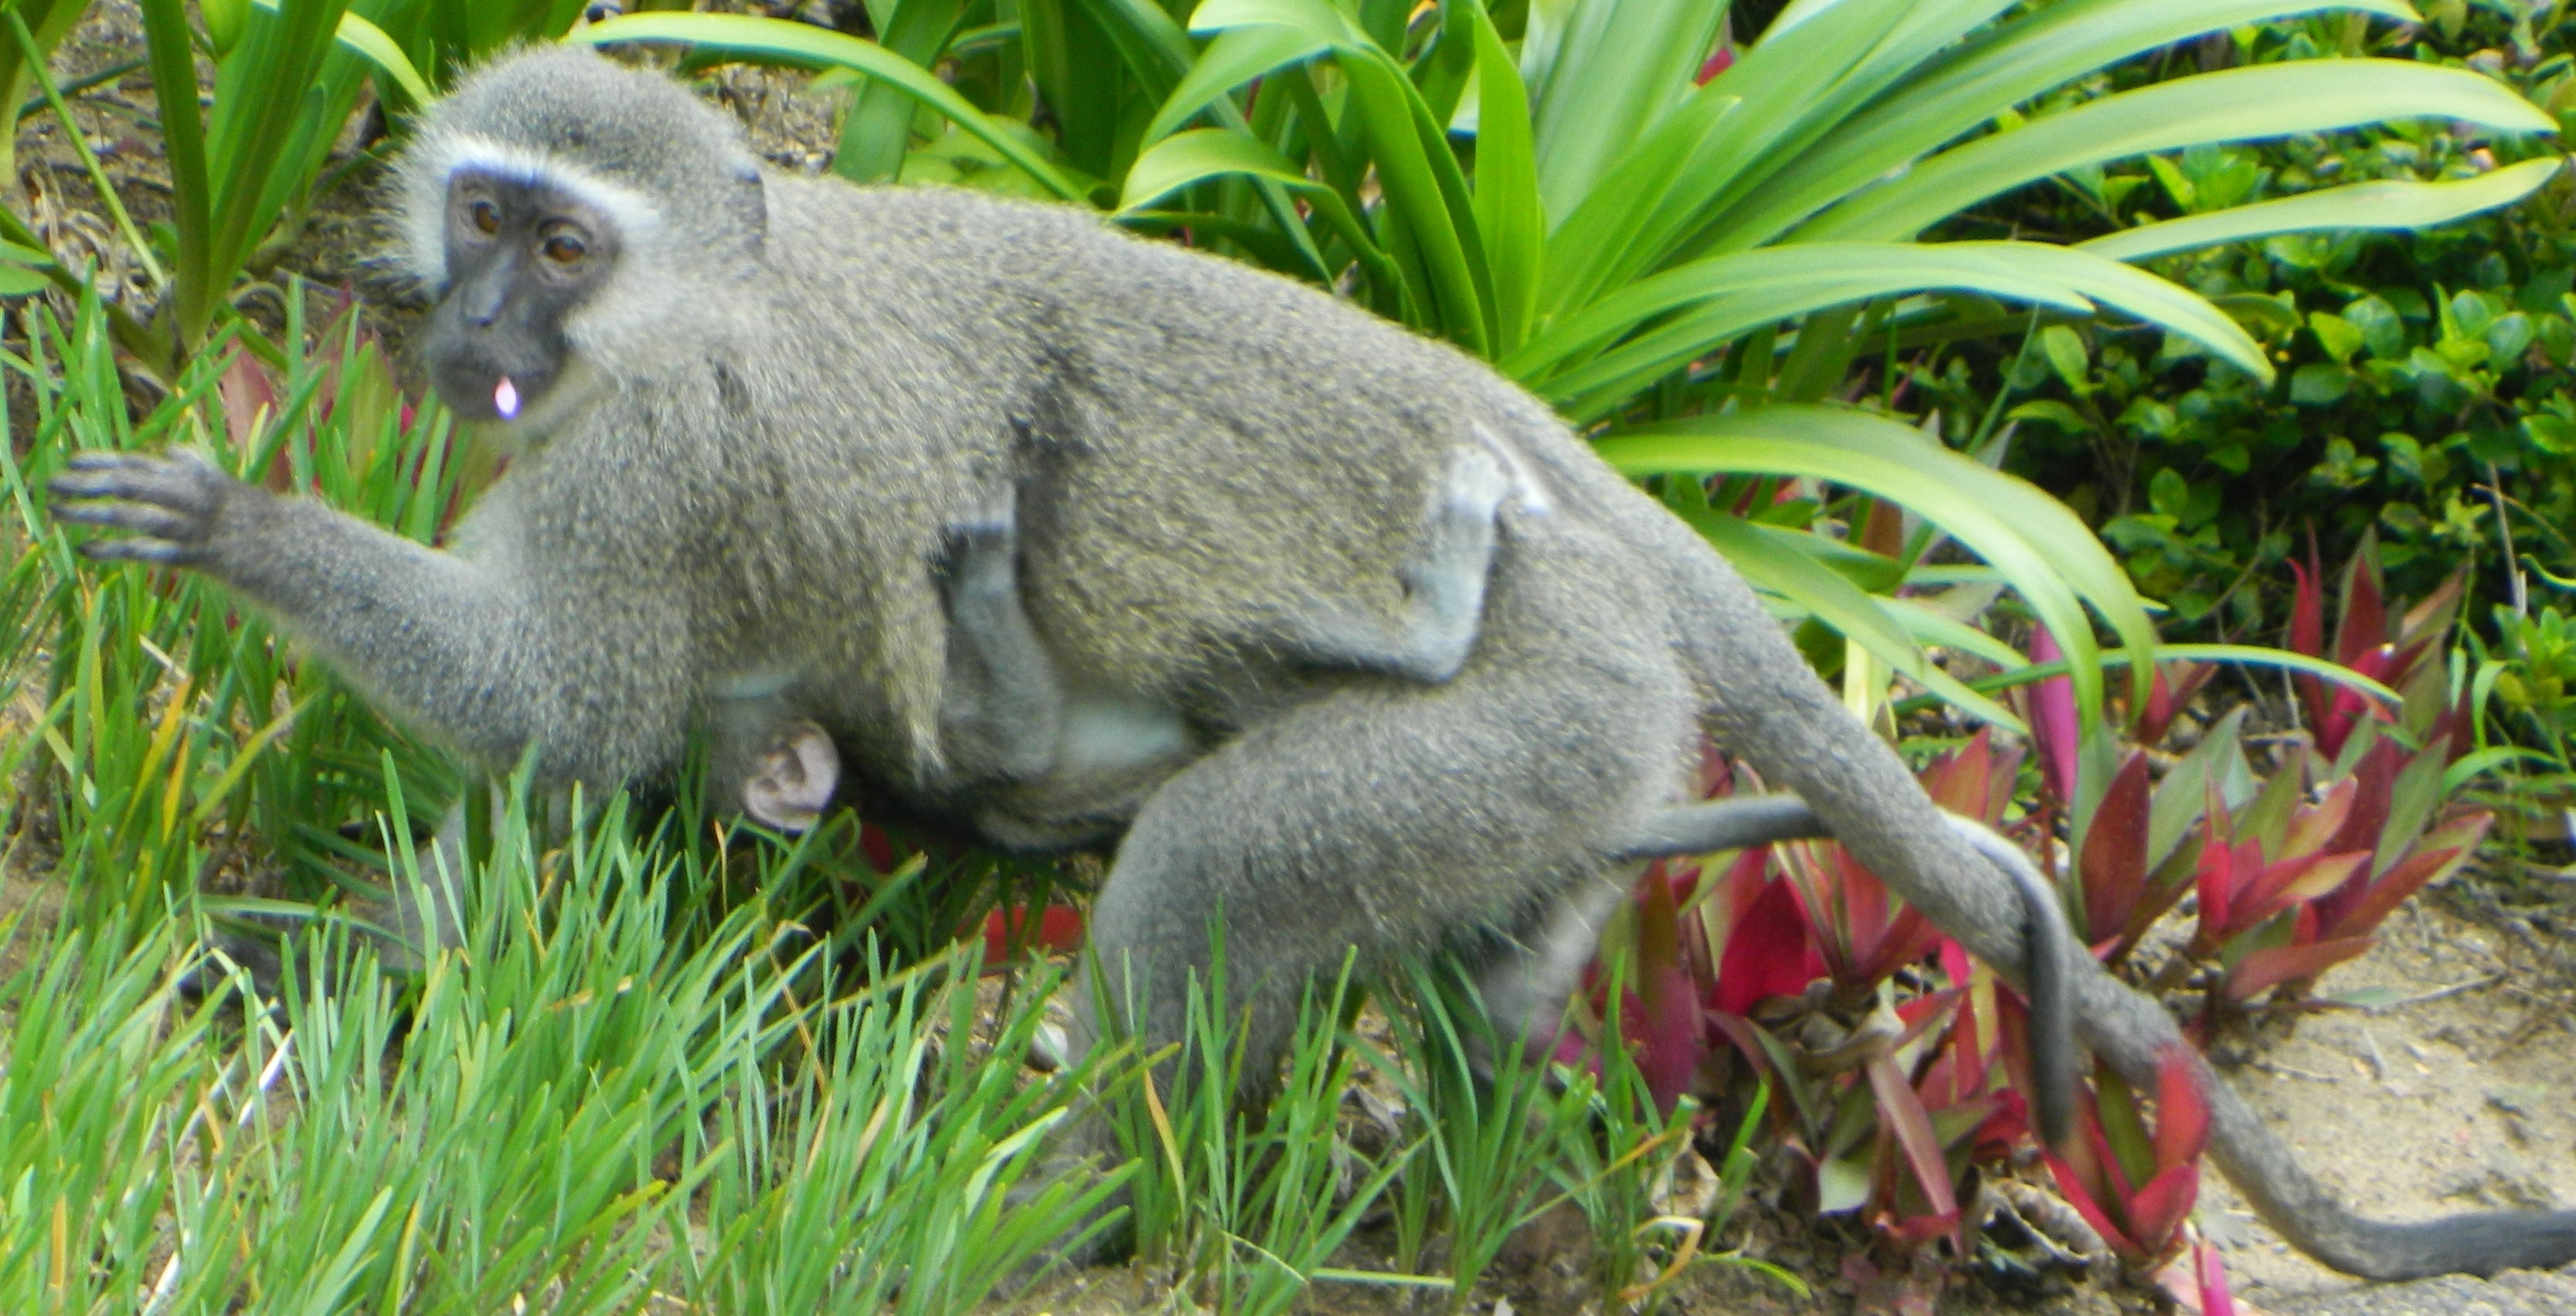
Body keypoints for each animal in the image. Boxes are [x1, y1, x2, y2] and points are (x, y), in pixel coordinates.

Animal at [45, 49, 2576, 1277]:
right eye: (482, 212)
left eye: (559, 243)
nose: (472, 320)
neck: (696, 302)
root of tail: (1583, 492)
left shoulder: (661, 464)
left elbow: (543, 713)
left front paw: (231, 527)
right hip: (1572, 783)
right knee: (1487, 979)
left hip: (1520, 715)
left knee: (1204, 880)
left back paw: (1070, 1199)